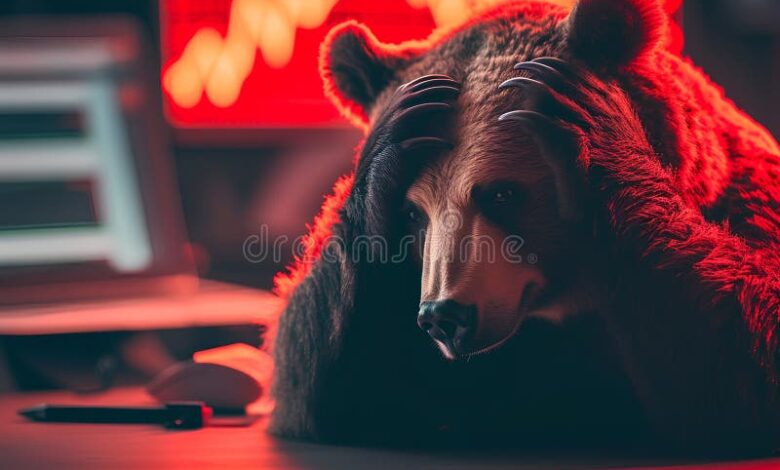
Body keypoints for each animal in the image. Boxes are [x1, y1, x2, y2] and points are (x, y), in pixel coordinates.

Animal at [269, 0, 780, 454]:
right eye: (412, 213)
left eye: (502, 193)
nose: (444, 316)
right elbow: (334, 385)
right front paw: (398, 123)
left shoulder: (748, 205)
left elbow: (728, 355)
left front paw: (587, 117)